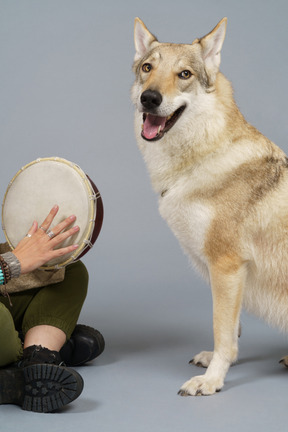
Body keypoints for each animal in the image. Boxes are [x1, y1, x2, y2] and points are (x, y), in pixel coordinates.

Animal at [132, 16, 288, 394]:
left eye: (184, 74)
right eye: (147, 68)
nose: (149, 98)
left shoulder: (226, 266)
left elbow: (223, 334)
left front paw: (212, 380)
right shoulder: (227, 273)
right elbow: (232, 330)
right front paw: (215, 365)